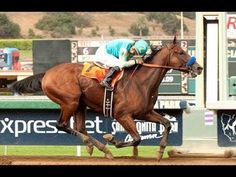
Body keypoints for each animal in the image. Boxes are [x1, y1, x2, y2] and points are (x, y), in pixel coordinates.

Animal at [10, 36, 203, 161]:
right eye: (180, 52)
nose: (199, 67)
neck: (141, 82)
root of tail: (47, 73)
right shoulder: (122, 115)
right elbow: (137, 138)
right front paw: (112, 139)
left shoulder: (145, 112)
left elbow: (167, 123)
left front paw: (160, 151)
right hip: (70, 101)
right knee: (62, 125)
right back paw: (92, 145)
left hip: (80, 104)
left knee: (80, 127)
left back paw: (98, 148)